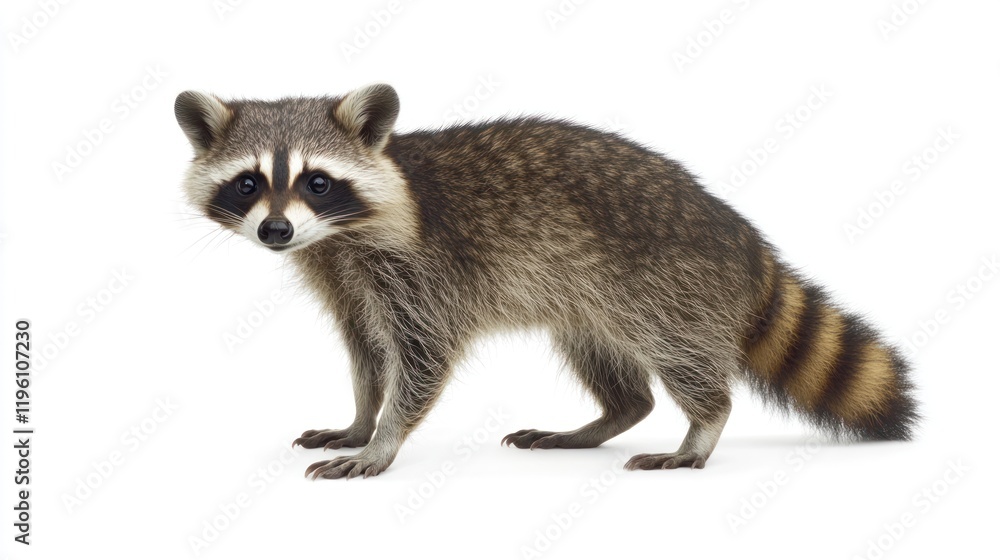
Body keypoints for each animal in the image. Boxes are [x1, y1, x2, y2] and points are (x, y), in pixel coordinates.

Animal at [174, 84, 919, 479]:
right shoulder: (342, 275)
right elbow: (366, 353)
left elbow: (420, 356)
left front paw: (385, 437)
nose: (276, 232)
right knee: (614, 371)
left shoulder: (422, 268)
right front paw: (361, 417)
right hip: (588, 299)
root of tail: (741, 234)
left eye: (317, 182)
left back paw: (703, 426)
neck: (337, 236)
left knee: (681, 357)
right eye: (249, 183)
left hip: (667, 281)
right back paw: (606, 419)